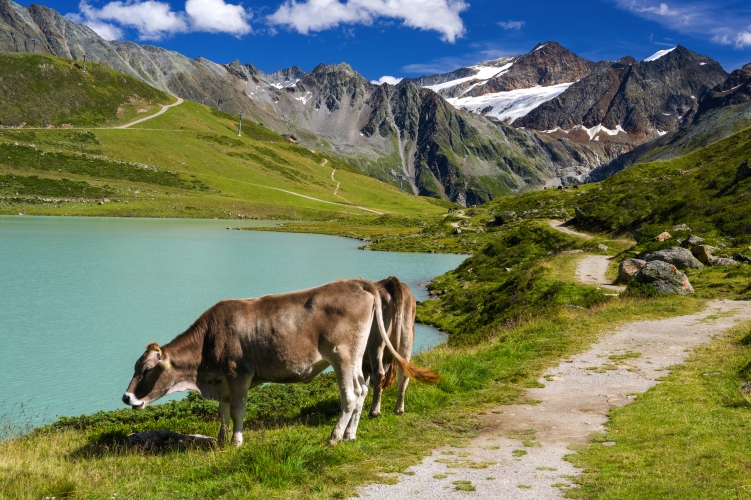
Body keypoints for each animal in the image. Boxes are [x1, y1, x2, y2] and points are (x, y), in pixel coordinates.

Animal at [365, 276, 417, 418]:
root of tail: (391, 281)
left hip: (376, 343)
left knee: (379, 374)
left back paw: (374, 411)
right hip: (406, 339)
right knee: (404, 374)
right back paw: (399, 409)